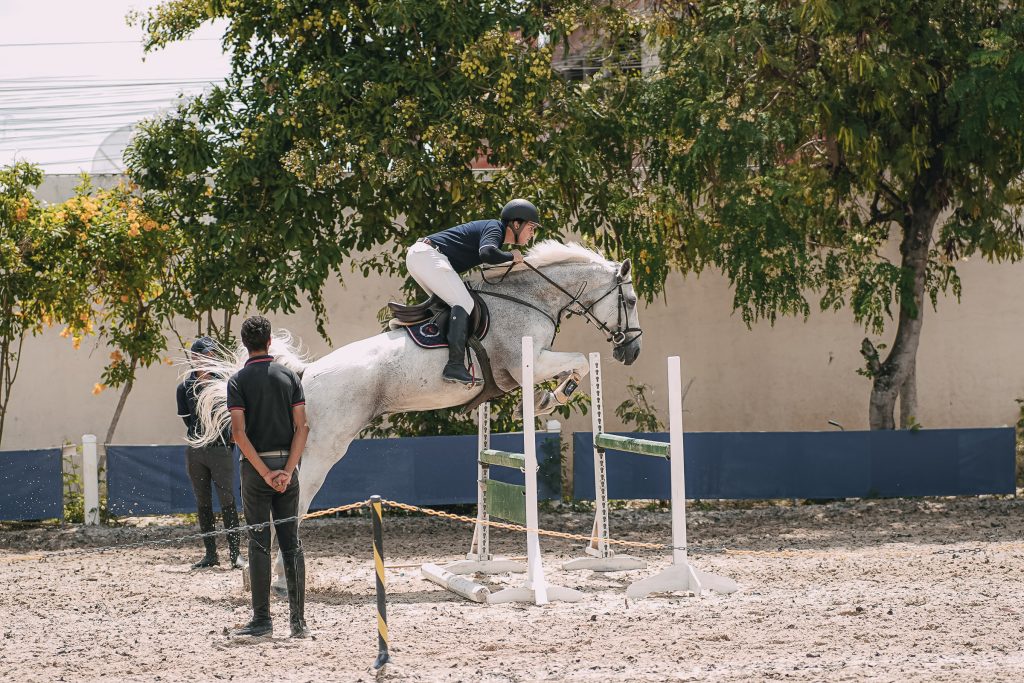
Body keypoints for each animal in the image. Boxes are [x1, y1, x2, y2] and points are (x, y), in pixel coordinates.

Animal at [191, 242, 638, 589]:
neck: (533, 297)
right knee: (299, 500)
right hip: (324, 447)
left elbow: (576, 364)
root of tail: (305, 375)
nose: (630, 351)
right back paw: (285, 575)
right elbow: (578, 362)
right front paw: (552, 397)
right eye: (630, 301)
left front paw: (550, 397)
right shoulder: (526, 361)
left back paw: (262, 574)